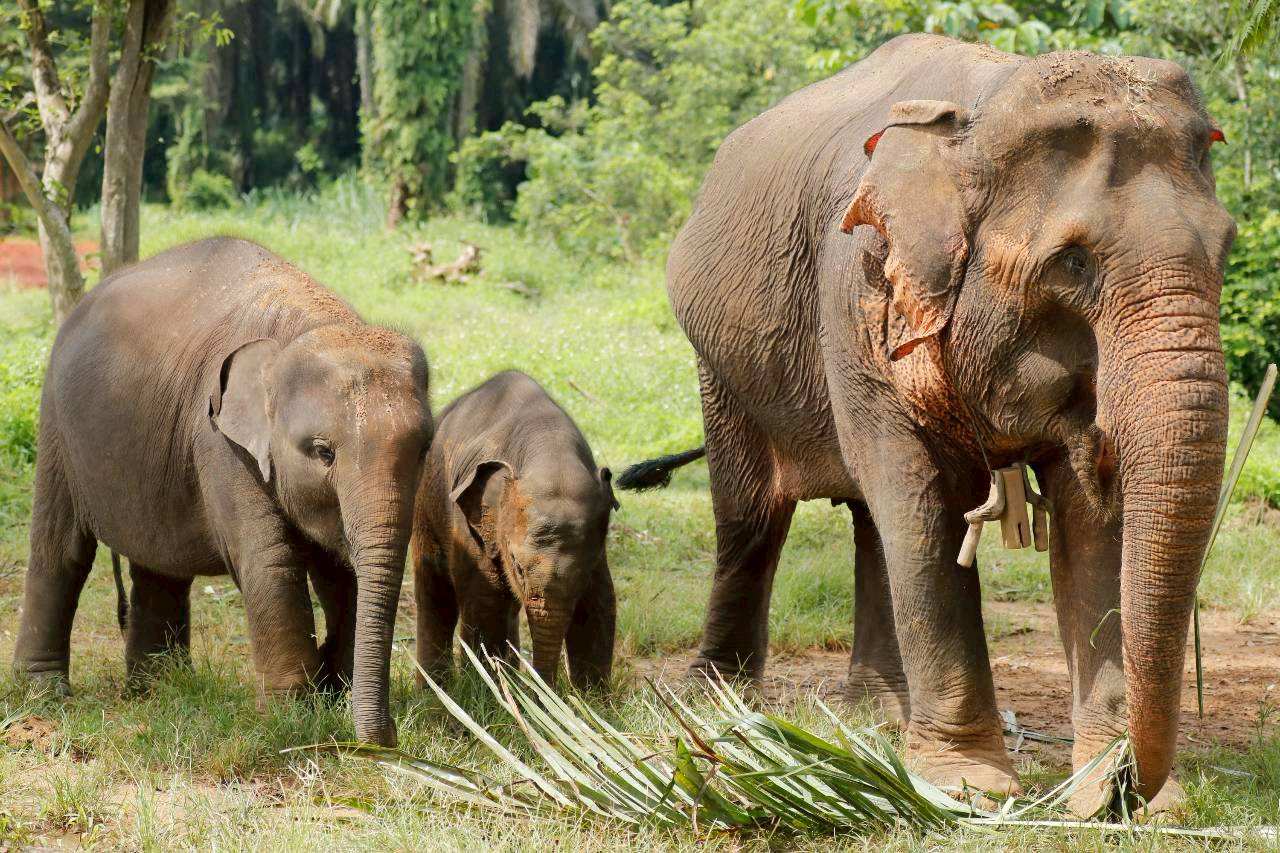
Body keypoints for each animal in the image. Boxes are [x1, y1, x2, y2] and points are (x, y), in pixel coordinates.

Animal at [14, 237, 432, 747]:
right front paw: (292, 718)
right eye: (323, 452)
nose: (385, 740)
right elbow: (271, 563)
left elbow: (340, 573)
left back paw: (158, 689)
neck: (304, 327)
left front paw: (334, 695)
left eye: (425, 448)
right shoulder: (221, 443)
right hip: (56, 424)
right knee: (62, 551)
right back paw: (46, 695)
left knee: (161, 565)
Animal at [411, 371, 617, 689]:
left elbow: (599, 601)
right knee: (437, 590)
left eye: (583, 571)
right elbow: (485, 599)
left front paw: (591, 699)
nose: (544, 692)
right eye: (518, 567)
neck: (549, 447)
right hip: (426, 503)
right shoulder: (471, 528)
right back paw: (434, 689)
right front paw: (492, 694)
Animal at [616, 34, 1234, 813]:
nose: (1132, 783)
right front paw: (968, 786)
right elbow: (925, 507)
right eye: (1072, 262)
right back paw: (716, 698)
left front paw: (1117, 795)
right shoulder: (859, 291)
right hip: (721, 365)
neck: (984, 107)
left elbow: (1090, 526)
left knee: (870, 521)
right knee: (753, 516)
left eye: (1226, 249)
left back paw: (879, 714)